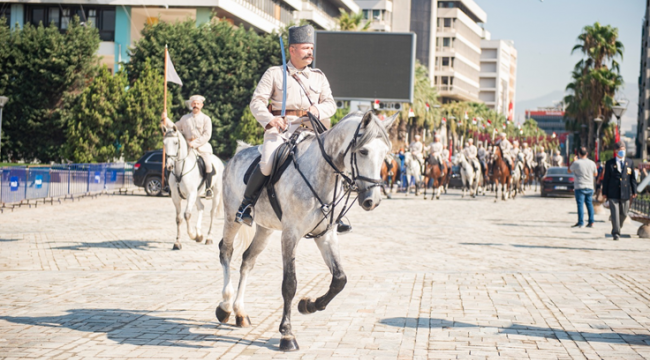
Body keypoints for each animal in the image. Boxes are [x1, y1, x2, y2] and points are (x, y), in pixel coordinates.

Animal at [215, 111, 394, 350]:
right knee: (226, 251)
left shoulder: (326, 236)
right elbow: (289, 284)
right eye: (363, 151)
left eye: (385, 153)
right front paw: (287, 334)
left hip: (265, 229)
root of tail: (239, 152)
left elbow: (340, 279)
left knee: (247, 260)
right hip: (231, 217)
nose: (372, 201)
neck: (322, 174)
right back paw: (225, 306)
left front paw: (309, 305)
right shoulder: (290, 235)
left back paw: (240, 312)